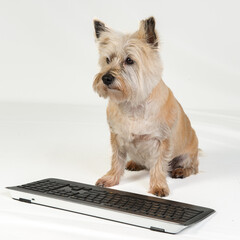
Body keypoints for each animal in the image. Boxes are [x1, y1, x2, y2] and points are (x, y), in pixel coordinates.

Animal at [92, 16, 199, 197]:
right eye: (107, 59)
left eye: (129, 60)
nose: (106, 78)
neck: (133, 103)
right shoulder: (117, 137)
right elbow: (116, 160)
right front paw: (111, 178)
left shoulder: (161, 141)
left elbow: (158, 166)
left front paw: (158, 186)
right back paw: (135, 163)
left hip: (188, 154)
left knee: (192, 166)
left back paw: (181, 171)